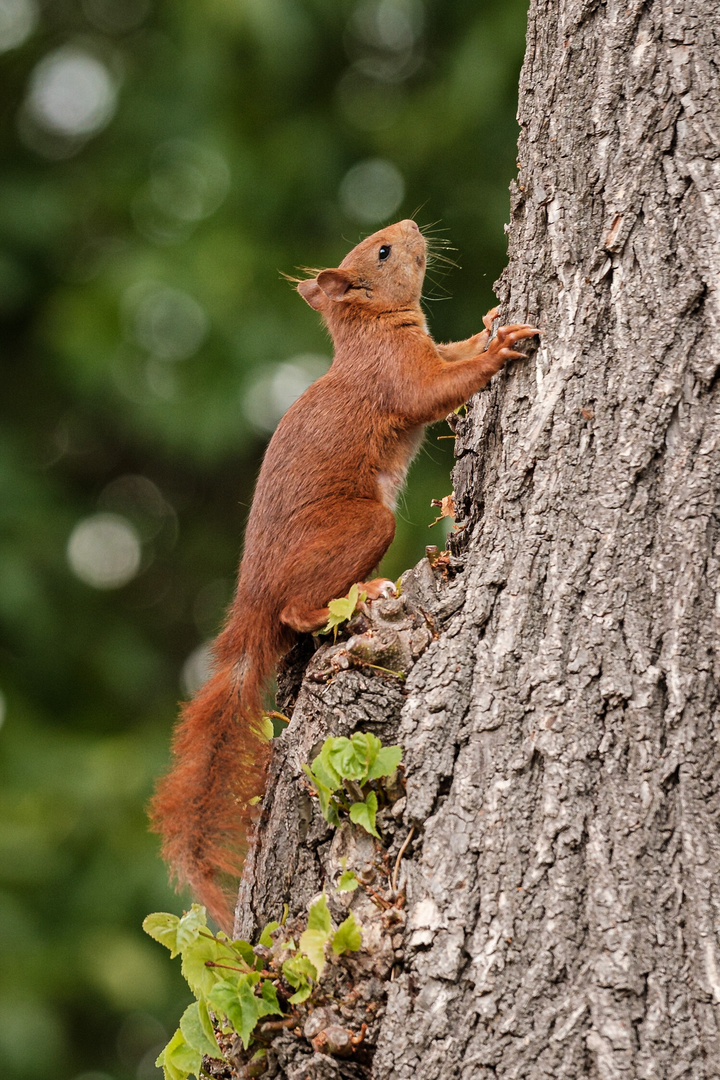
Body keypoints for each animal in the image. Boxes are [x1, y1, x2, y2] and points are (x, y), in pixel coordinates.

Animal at [148, 219, 537, 928]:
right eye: (381, 250)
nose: (410, 225)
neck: (372, 328)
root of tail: (251, 598)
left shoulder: (424, 351)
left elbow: (453, 352)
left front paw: (491, 324)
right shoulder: (396, 375)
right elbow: (437, 390)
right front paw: (499, 352)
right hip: (361, 530)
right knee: (297, 611)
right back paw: (358, 596)